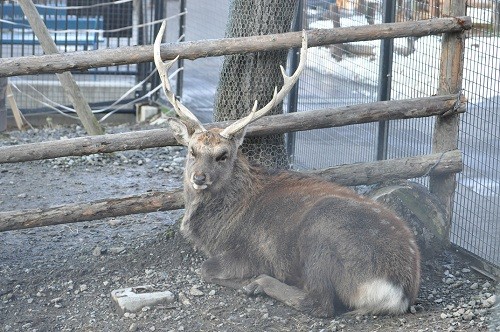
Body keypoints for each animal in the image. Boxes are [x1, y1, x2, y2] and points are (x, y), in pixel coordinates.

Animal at [154, 20, 420, 316]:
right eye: (192, 150)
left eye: (223, 155)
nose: (199, 177)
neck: (215, 228)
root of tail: (397, 291)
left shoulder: (248, 252)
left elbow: (206, 268)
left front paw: (246, 282)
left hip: (321, 237)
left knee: (319, 302)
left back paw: (259, 284)